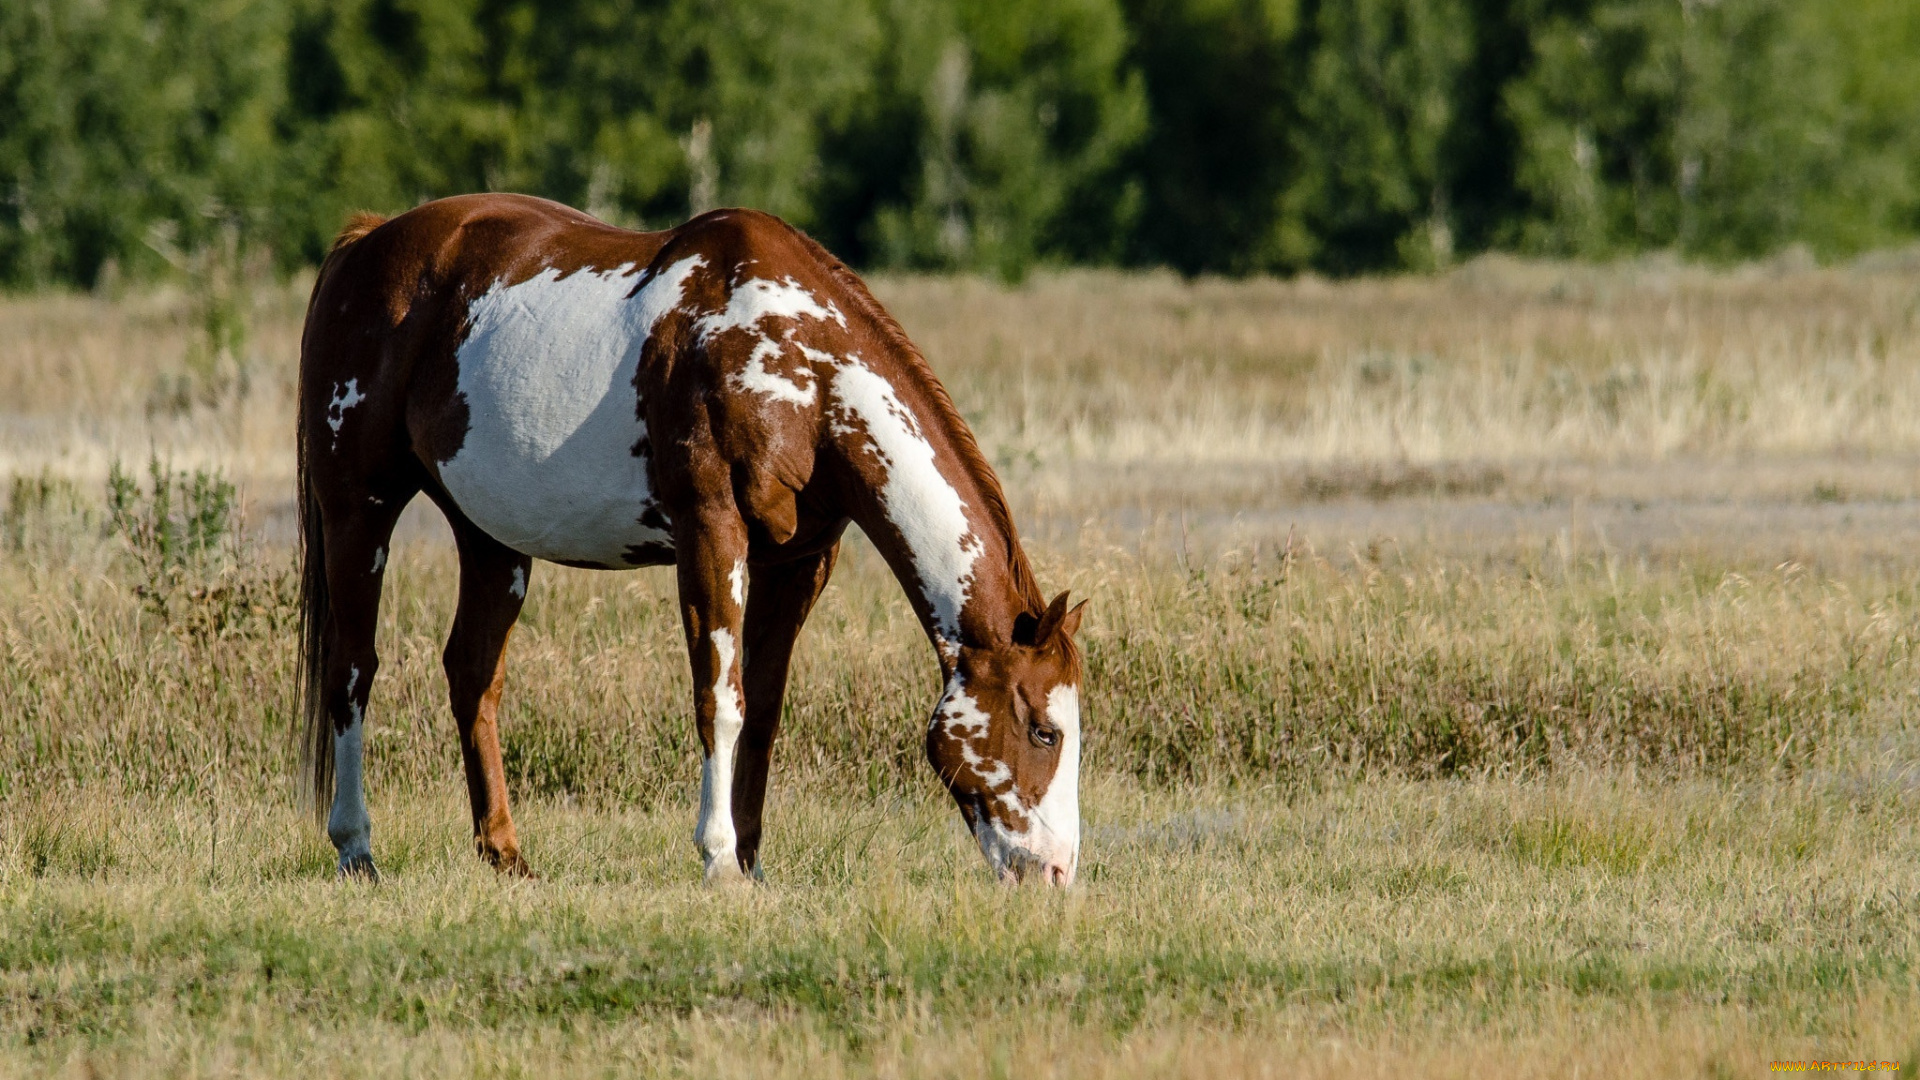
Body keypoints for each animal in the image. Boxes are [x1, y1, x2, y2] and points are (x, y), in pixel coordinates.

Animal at [293, 191, 1090, 883]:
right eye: (1044, 730)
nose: (1055, 872)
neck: (803, 368)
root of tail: (367, 242)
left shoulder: (800, 559)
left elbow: (762, 710)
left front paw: (752, 861)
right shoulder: (711, 531)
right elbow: (719, 698)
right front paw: (718, 858)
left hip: (490, 536)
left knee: (472, 674)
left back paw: (505, 854)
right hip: (358, 509)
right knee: (353, 669)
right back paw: (356, 848)